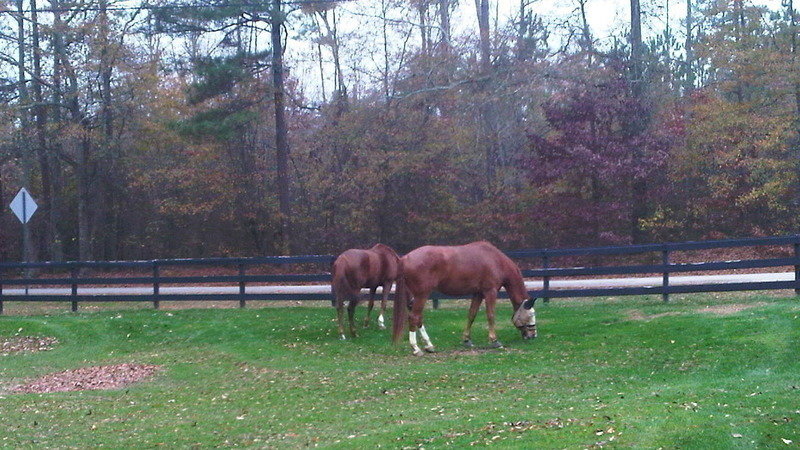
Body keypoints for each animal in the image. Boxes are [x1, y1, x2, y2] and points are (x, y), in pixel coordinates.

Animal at [391, 241, 538, 356]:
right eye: (531, 315)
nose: (533, 335)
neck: (495, 260)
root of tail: (405, 258)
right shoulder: (490, 292)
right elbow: (490, 315)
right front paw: (494, 341)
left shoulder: (478, 293)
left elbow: (471, 314)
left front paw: (467, 340)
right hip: (422, 295)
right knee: (414, 317)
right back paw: (416, 348)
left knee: (418, 318)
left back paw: (429, 345)